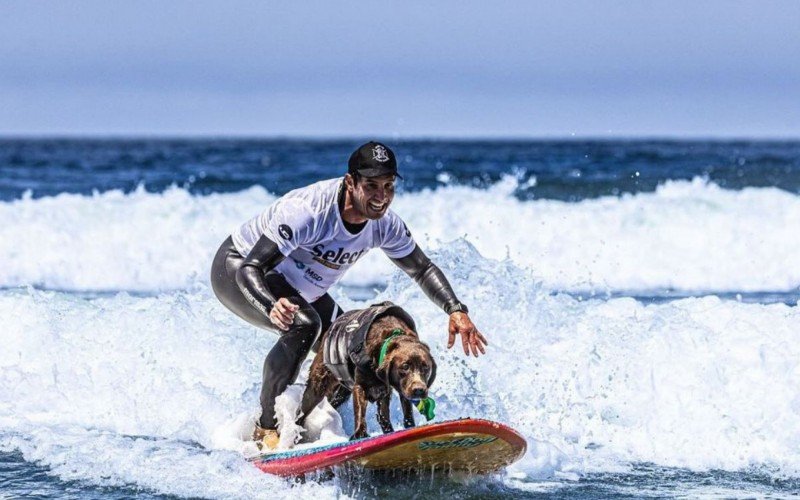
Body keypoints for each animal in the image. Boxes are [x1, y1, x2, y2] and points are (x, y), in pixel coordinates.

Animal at [300, 300, 438, 438]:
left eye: (426, 367)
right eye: (405, 367)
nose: (419, 390)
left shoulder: (390, 390)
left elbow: (399, 414)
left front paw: (406, 427)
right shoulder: (360, 387)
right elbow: (361, 414)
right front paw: (360, 434)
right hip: (319, 384)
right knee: (302, 411)